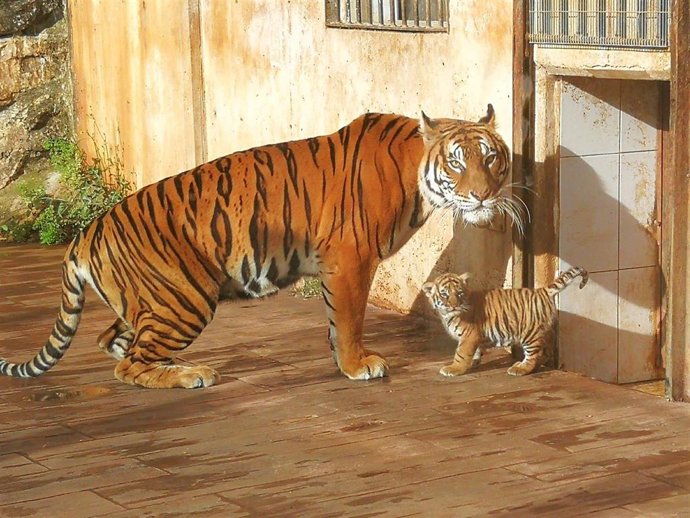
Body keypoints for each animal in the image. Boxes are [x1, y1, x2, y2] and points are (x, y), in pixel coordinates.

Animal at [0, 105, 522, 389]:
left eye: (491, 158)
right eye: (456, 163)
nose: (483, 196)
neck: (417, 174)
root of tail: (86, 232)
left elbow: (336, 321)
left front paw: (343, 361)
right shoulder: (351, 259)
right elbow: (349, 320)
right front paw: (358, 365)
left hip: (150, 301)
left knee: (113, 341)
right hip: (185, 299)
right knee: (129, 363)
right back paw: (191, 374)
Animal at [423, 267, 588, 377]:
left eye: (459, 293)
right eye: (444, 294)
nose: (454, 305)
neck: (447, 314)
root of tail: (541, 290)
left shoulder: (469, 335)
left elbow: (461, 353)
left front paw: (454, 368)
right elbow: (475, 351)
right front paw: (474, 362)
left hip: (529, 333)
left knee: (533, 355)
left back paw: (520, 369)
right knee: (544, 353)